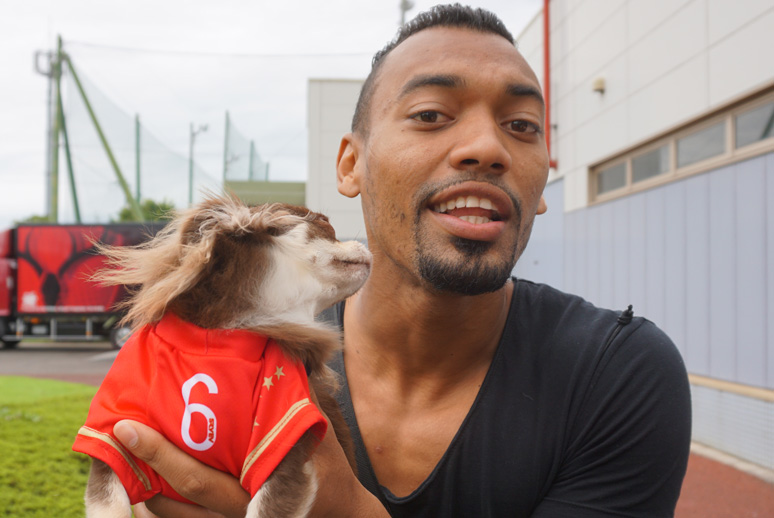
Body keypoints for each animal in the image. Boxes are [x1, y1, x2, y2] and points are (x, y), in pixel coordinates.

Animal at [73, 194, 371, 518]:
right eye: (325, 223)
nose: (364, 244)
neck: (219, 340)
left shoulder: (282, 442)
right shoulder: (113, 438)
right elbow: (108, 503)